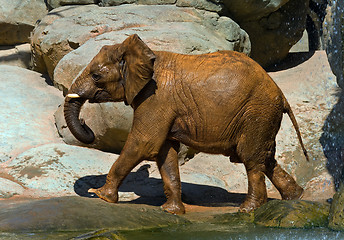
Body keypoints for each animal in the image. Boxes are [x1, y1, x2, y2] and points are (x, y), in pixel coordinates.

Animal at [63, 33, 308, 214]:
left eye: (96, 76)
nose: (87, 125)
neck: (145, 53)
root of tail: (281, 94)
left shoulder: (156, 98)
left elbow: (143, 144)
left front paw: (100, 195)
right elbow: (165, 153)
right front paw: (171, 211)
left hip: (257, 112)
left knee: (251, 158)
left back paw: (248, 209)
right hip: (263, 116)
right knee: (266, 158)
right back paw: (295, 197)